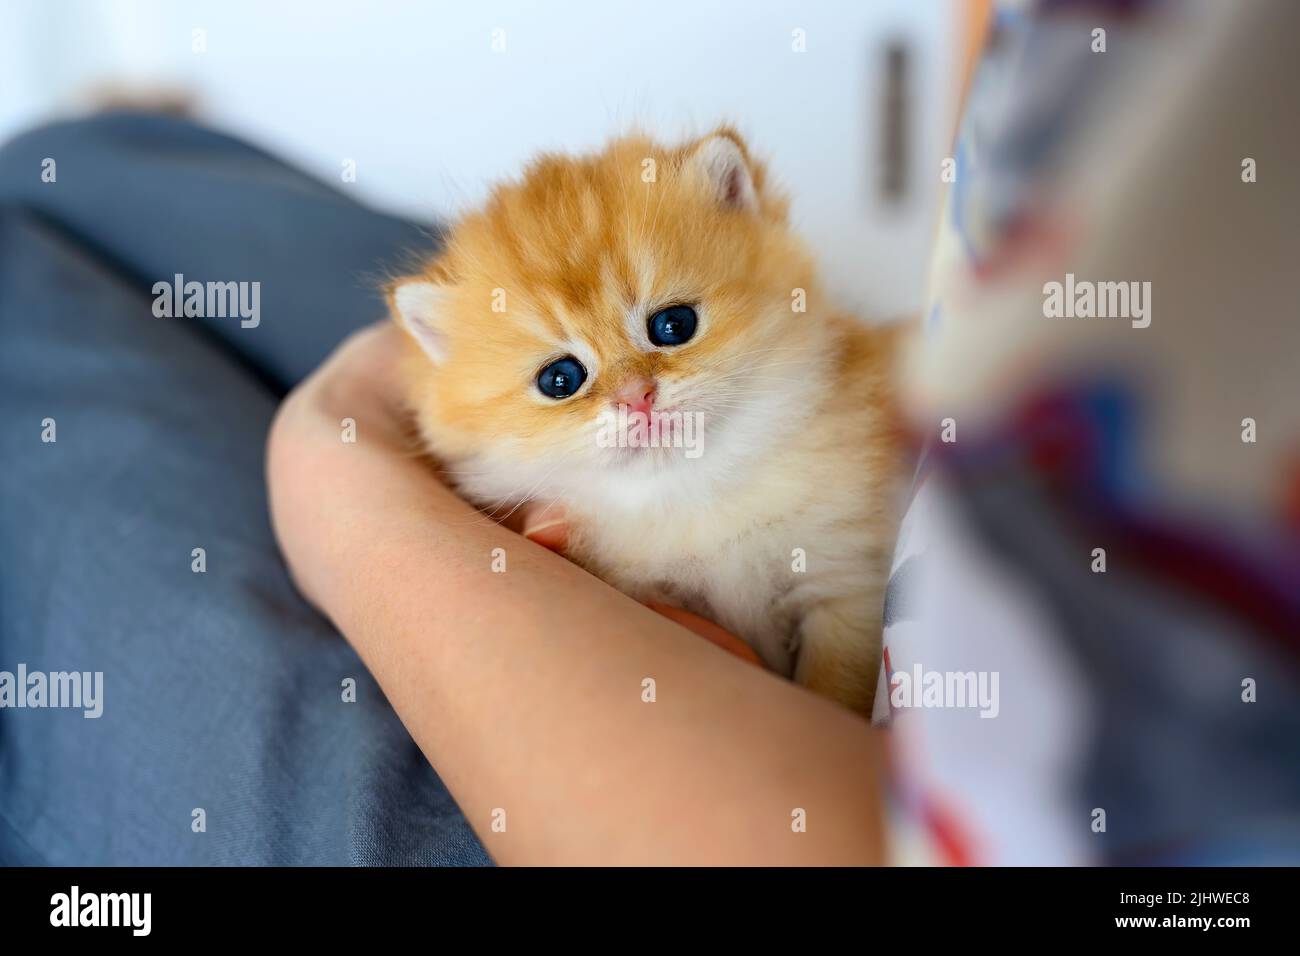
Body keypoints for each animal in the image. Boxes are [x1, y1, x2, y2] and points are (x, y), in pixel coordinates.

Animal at [387, 128, 904, 712]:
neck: (689, 491)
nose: (637, 397)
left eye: (673, 325)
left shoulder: (841, 585)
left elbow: (832, 687)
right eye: (560, 380)